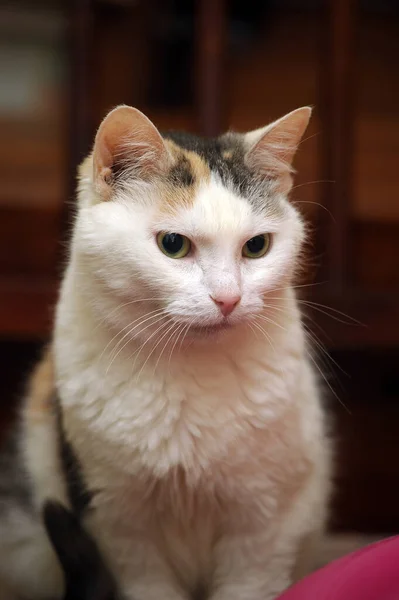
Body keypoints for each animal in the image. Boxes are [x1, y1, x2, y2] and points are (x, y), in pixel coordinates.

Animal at [0, 105, 332, 596]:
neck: (189, 374)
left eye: (257, 246)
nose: (228, 299)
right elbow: (148, 583)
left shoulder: (263, 524)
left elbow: (248, 583)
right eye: (173, 245)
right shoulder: (118, 525)